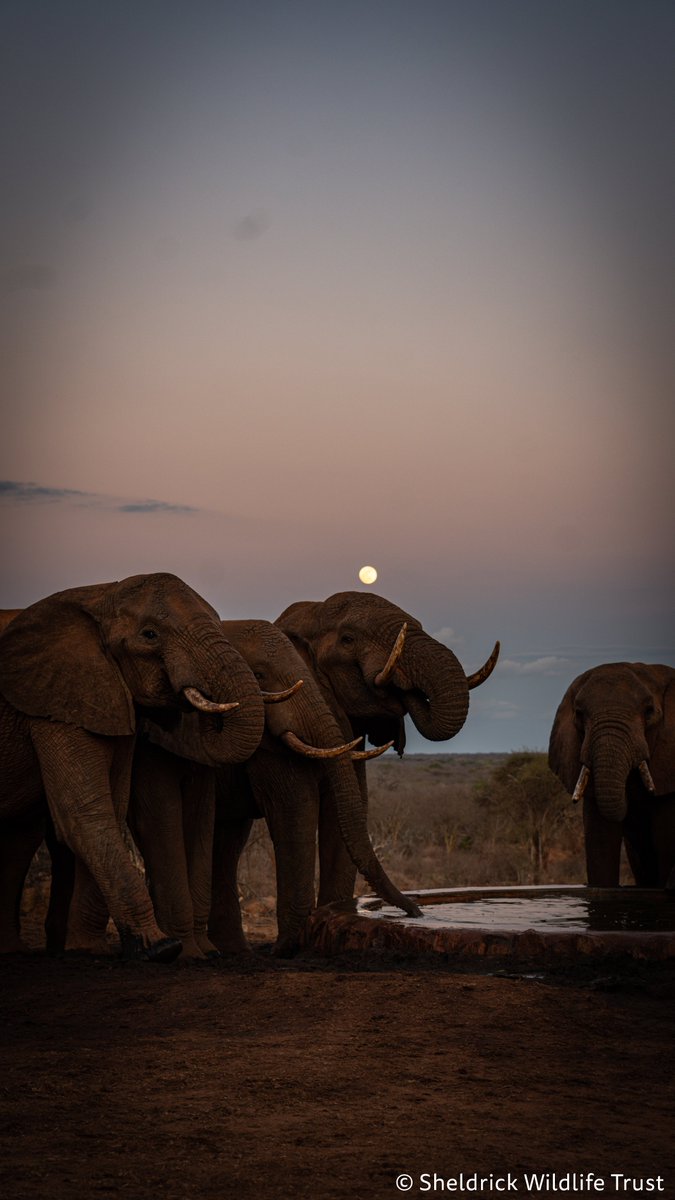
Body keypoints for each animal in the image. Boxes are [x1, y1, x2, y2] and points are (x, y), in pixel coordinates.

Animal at [0, 574, 265, 959]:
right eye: (150, 635)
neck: (100, 594)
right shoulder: (54, 702)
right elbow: (84, 814)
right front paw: (161, 948)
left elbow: (114, 803)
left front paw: (88, 949)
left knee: (19, 837)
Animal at [129, 618, 419, 957]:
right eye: (258, 676)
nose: (416, 912)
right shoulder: (266, 752)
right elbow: (294, 810)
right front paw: (290, 947)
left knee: (227, 840)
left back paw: (233, 951)